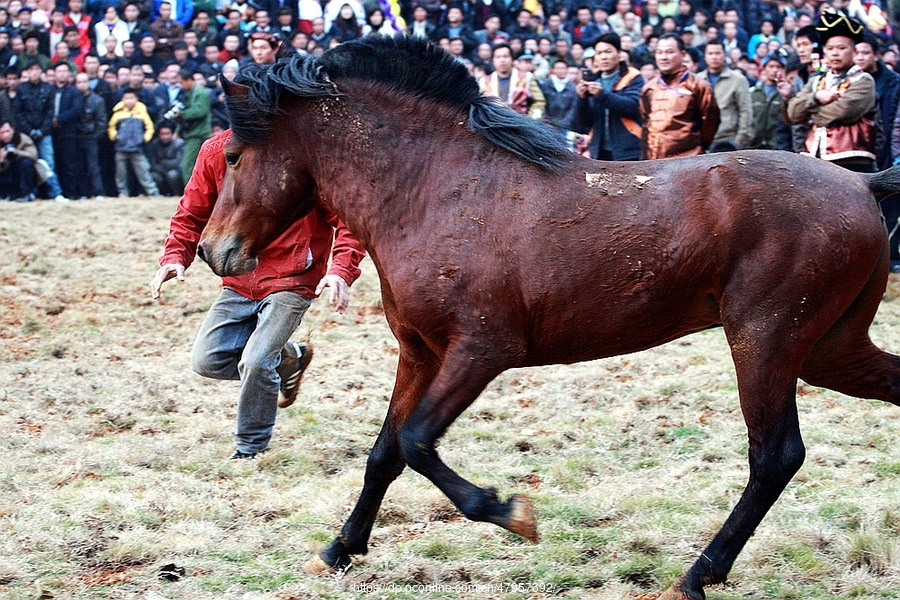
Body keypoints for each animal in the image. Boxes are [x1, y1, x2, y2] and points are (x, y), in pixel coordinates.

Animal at [195, 39, 900, 596]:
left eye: (233, 156)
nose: (212, 250)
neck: (435, 189)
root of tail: (859, 185)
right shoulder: (419, 352)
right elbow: (383, 453)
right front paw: (340, 550)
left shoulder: (482, 350)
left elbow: (416, 441)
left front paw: (510, 513)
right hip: (828, 348)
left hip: (766, 337)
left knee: (775, 455)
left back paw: (696, 576)